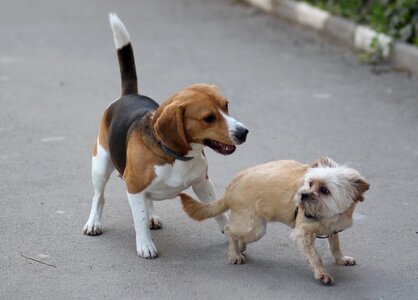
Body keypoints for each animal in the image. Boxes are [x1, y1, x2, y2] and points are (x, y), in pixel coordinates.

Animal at [82, 12, 248, 258]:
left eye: (226, 106)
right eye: (209, 118)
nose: (244, 132)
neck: (176, 156)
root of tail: (129, 95)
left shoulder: (203, 183)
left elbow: (217, 210)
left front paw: (230, 233)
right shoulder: (134, 187)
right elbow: (139, 219)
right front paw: (145, 245)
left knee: (147, 201)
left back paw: (152, 215)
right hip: (101, 165)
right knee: (99, 197)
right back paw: (94, 222)